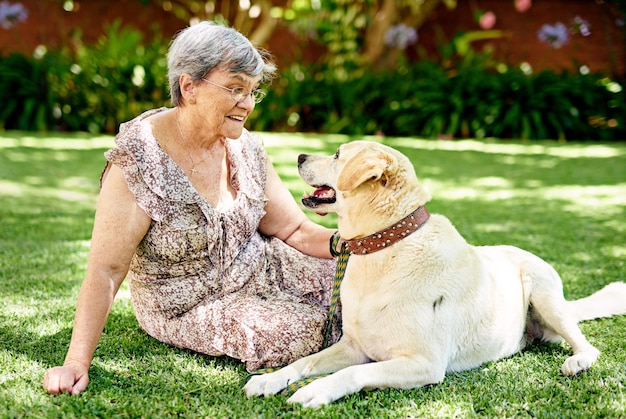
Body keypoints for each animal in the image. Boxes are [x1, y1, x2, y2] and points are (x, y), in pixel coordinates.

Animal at [244, 140, 624, 406]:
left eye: (338, 154)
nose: (299, 156)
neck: (384, 248)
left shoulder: (423, 363)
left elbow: (354, 373)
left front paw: (318, 390)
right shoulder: (352, 346)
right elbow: (304, 362)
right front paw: (271, 378)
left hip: (543, 291)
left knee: (587, 345)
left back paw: (578, 361)